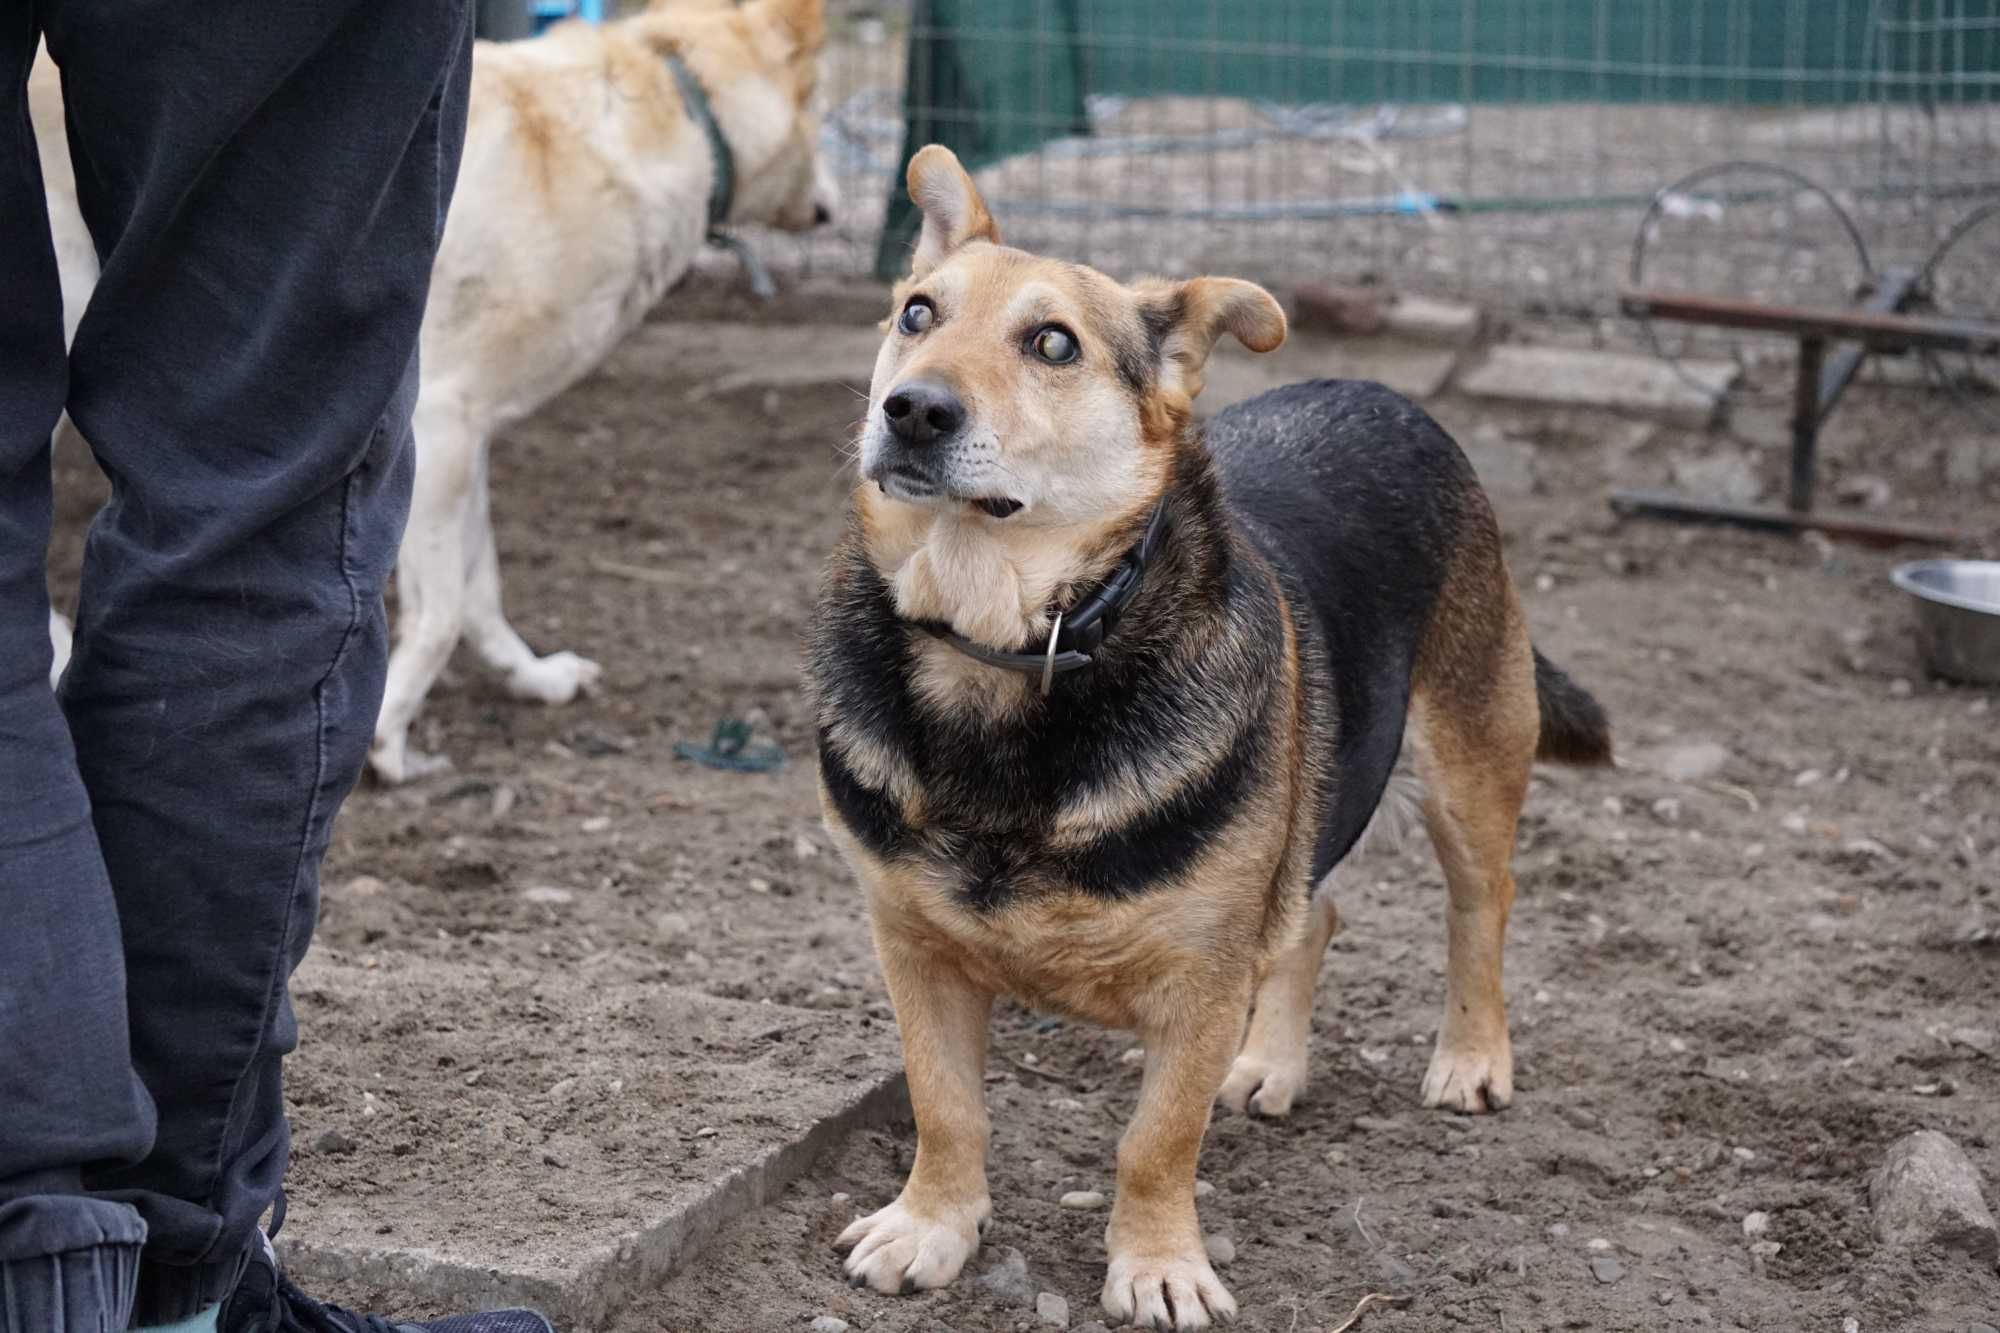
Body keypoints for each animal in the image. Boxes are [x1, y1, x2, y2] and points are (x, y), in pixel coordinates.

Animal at [39, 0, 836, 780]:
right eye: (822, 108)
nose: (830, 204)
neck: (684, 103)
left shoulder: (468, 433)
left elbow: (480, 588)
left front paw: (531, 677)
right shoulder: (441, 425)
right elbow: (444, 607)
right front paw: (389, 737)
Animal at [804, 140, 1600, 1320]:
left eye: (1053, 343)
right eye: (916, 312)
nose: (912, 410)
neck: (1008, 645)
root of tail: (1379, 390)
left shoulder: (1203, 976)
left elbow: (1154, 1138)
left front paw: (1158, 1266)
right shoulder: (913, 946)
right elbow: (945, 1106)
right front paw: (932, 1226)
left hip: (1466, 760)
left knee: (1480, 906)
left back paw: (1470, 1057)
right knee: (1316, 914)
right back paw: (1270, 1063)